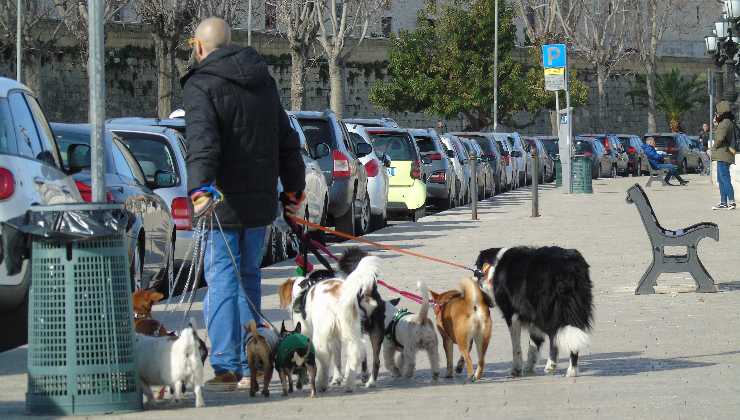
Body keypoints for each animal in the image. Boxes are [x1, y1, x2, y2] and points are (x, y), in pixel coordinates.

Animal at [476, 246, 592, 378]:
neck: (494, 268)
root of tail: (568, 268)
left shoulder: (512, 315)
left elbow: (516, 346)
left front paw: (516, 370)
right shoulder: (532, 316)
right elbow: (534, 343)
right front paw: (529, 368)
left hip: (547, 310)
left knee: (554, 335)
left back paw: (551, 365)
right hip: (575, 307)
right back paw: (571, 371)